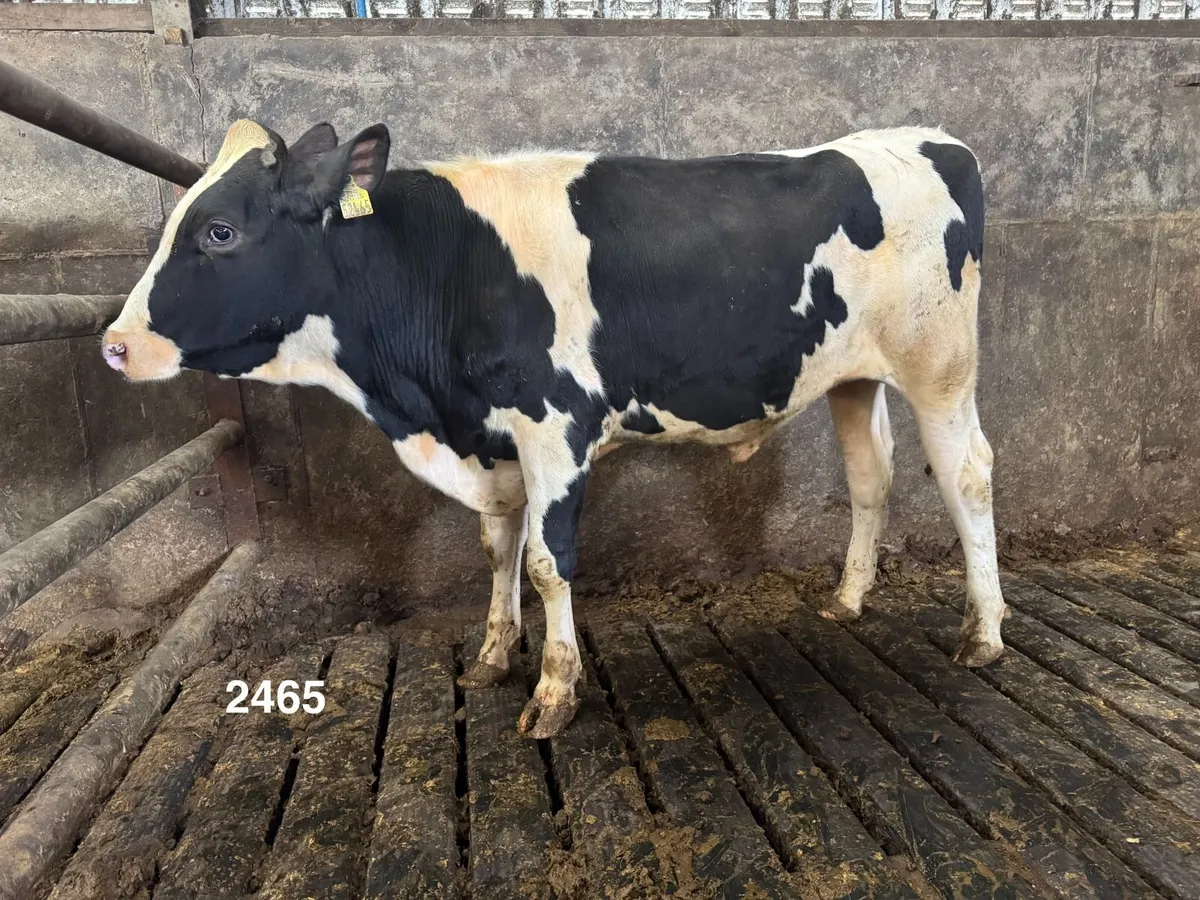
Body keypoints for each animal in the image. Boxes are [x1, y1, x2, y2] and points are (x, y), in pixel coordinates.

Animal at [102, 118, 1005, 738]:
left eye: (220, 231)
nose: (114, 344)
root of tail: (928, 139)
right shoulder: (491, 441)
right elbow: (498, 548)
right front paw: (494, 656)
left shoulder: (555, 428)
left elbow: (546, 561)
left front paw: (554, 691)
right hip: (853, 376)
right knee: (871, 476)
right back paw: (847, 600)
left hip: (941, 367)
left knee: (968, 476)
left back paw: (985, 633)